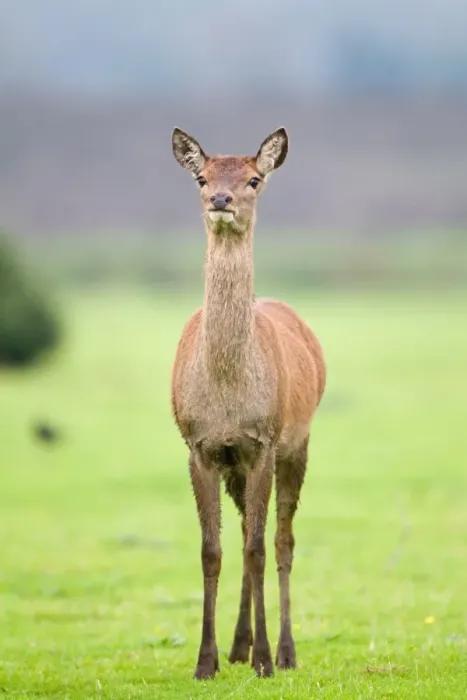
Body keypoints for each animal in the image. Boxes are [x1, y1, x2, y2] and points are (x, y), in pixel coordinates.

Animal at [170, 126, 326, 680]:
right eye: (201, 177)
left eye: (254, 179)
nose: (221, 199)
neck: (227, 396)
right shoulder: (201, 447)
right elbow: (211, 550)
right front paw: (206, 662)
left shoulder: (262, 442)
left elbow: (259, 549)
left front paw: (264, 660)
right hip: (236, 465)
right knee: (241, 532)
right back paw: (238, 646)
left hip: (297, 443)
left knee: (282, 541)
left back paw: (283, 650)